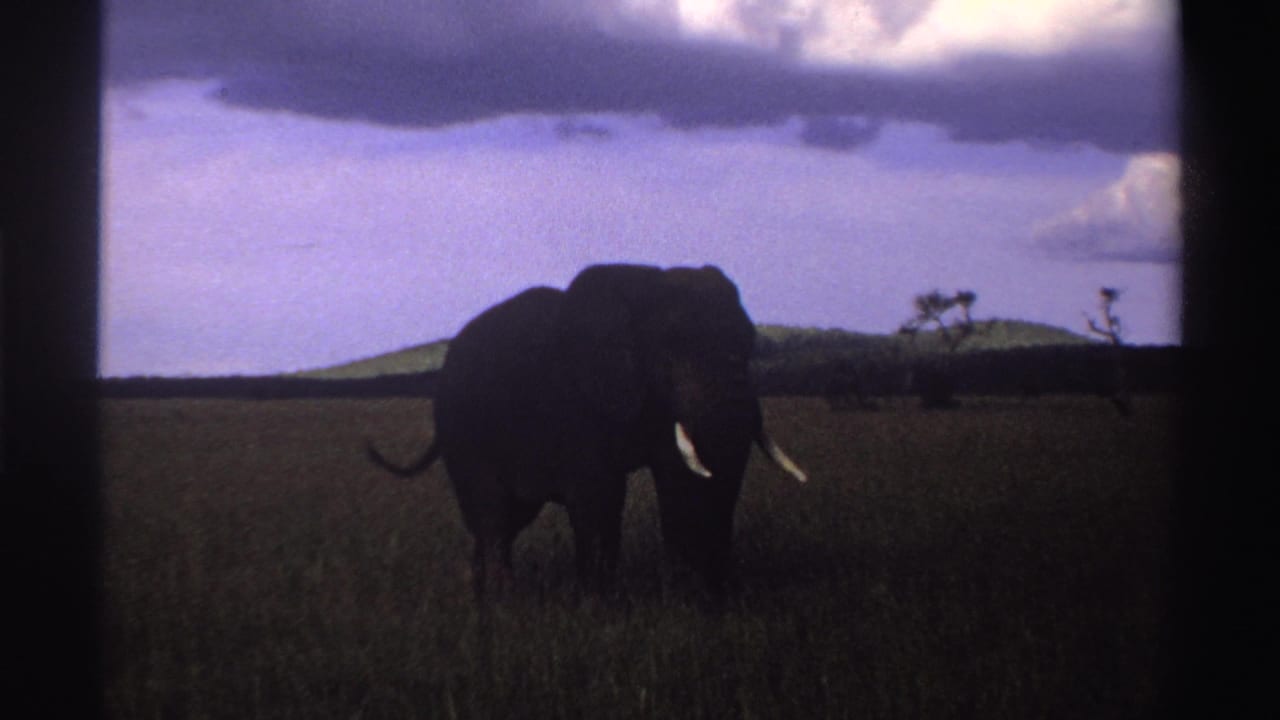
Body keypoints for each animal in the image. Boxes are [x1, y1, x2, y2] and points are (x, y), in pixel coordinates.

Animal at [367, 264, 807, 597]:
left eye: (751, 343)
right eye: (671, 348)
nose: (721, 591)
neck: (642, 283)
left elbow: (678, 479)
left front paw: (692, 597)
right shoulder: (577, 402)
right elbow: (598, 496)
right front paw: (600, 607)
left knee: (511, 517)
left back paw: (479, 592)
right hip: (463, 428)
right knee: (491, 514)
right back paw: (500, 598)